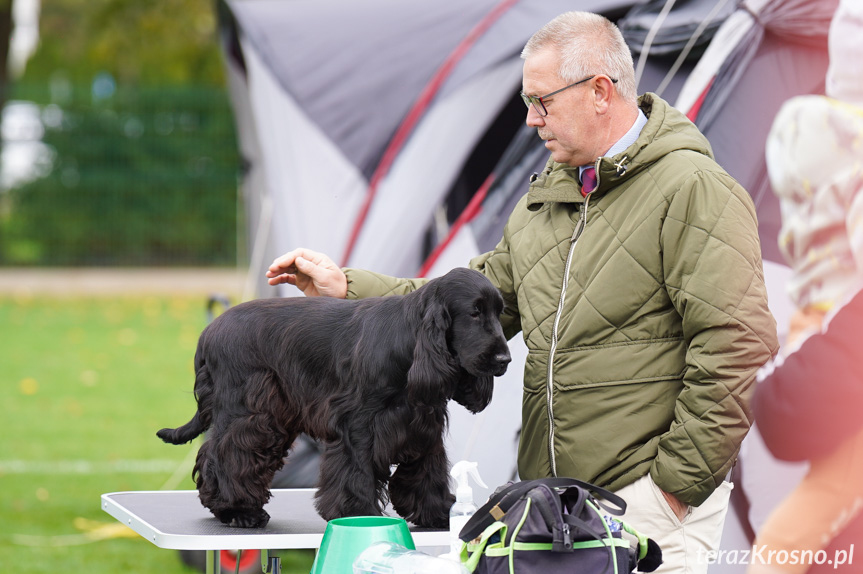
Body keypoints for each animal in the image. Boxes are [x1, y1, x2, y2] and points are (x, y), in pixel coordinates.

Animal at [158, 270, 510, 532]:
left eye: (499, 312)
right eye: (474, 312)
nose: (504, 359)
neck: (409, 341)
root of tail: (209, 332)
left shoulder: (424, 423)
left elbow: (428, 469)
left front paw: (437, 513)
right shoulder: (358, 422)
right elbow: (357, 471)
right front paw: (359, 513)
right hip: (250, 412)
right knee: (226, 454)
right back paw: (237, 511)